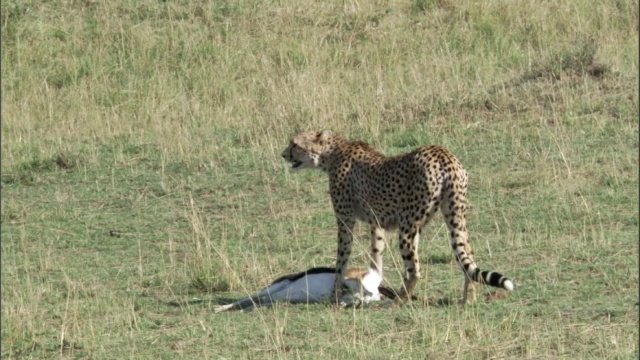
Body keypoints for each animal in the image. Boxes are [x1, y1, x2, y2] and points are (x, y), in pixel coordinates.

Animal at [282, 129, 516, 304]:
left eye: (295, 144)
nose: (284, 154)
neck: (333, 153)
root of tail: (443, 154)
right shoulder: (376, 222)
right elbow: (376, 254)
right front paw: (373, 282)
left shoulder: (345, 220)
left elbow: (342, 258)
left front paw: (334, 293)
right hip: (454, 218)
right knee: (467, 256)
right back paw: (469, 298)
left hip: (408, 226)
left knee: (415, 270)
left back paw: (399, 299)